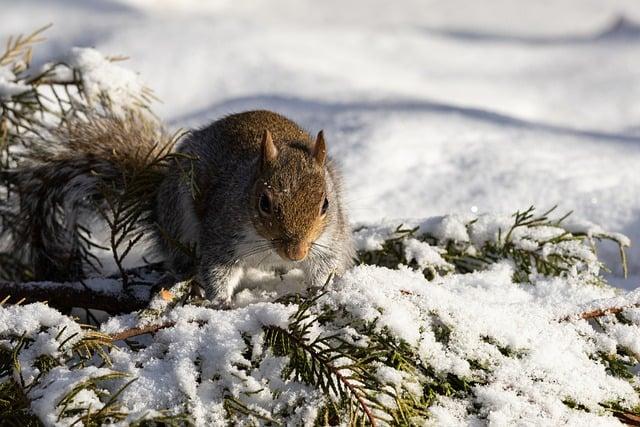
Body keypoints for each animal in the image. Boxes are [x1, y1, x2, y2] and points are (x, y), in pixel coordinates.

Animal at [11, 110, 356, 304]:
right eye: (264, 203)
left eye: (325, 204)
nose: (296, 253)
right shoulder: (222, 235)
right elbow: (218, 270)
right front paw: (220, 301)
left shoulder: (329, 240)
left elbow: (325, 266)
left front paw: (319, 292)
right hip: (178, 221)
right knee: (179, 260)